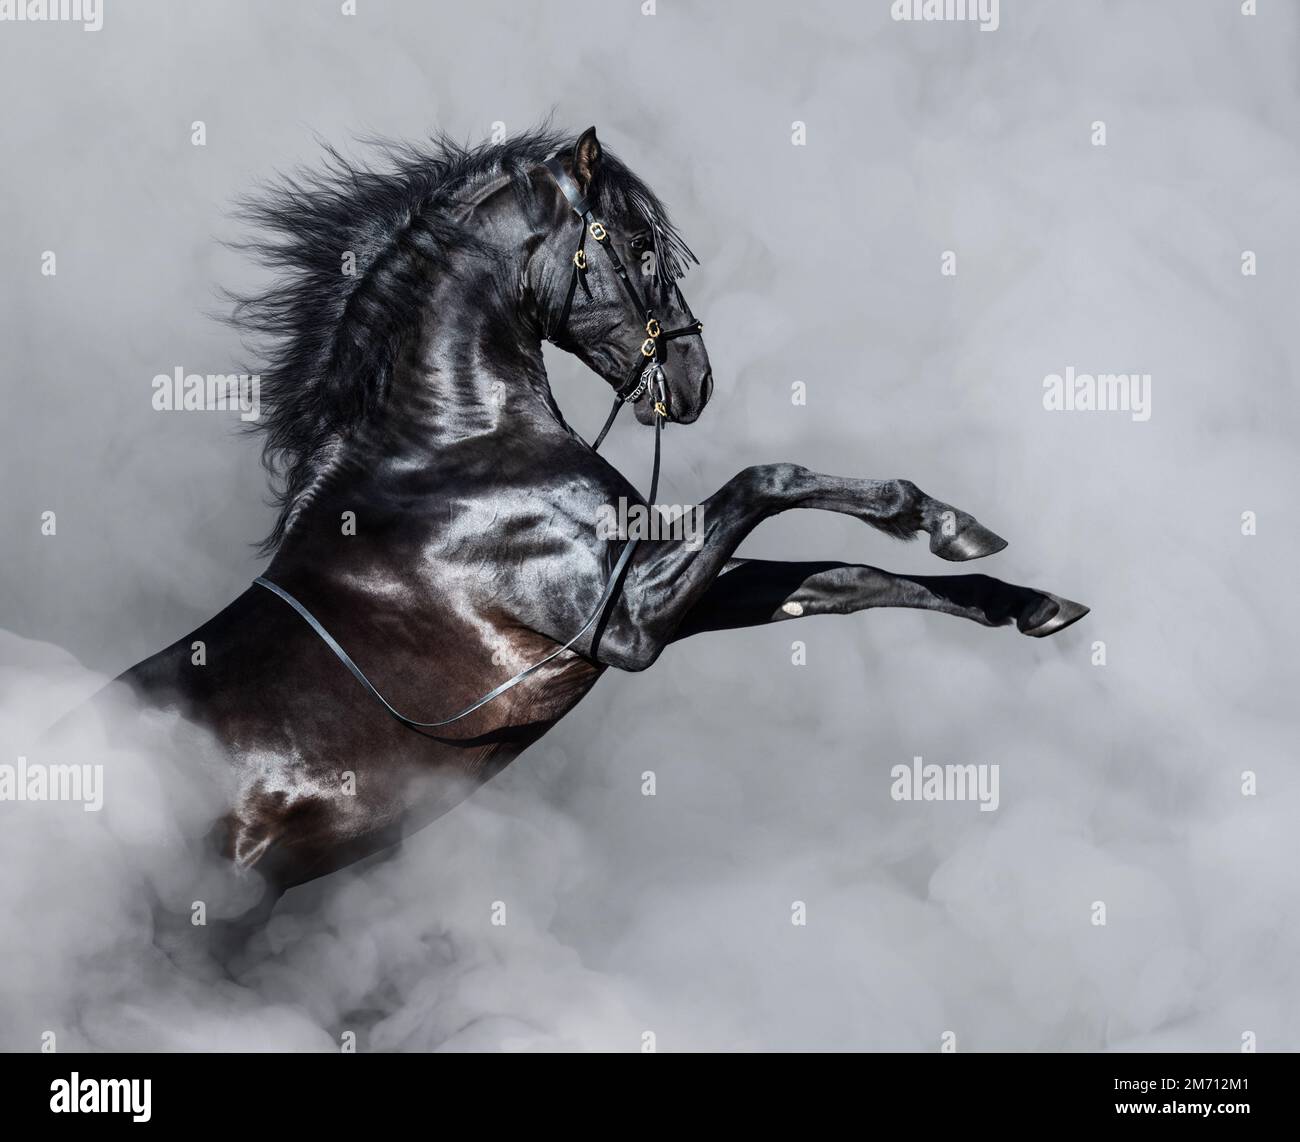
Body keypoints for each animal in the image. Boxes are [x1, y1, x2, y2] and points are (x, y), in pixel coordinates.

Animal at [102, 126, 1087, 926]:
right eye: (642, 246)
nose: (692, 380)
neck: (451, 454)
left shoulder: (650, 594)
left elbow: (837, 584)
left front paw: (1022, 596)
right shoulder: (627, 620)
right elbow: (774, 481)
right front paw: (932, 516)